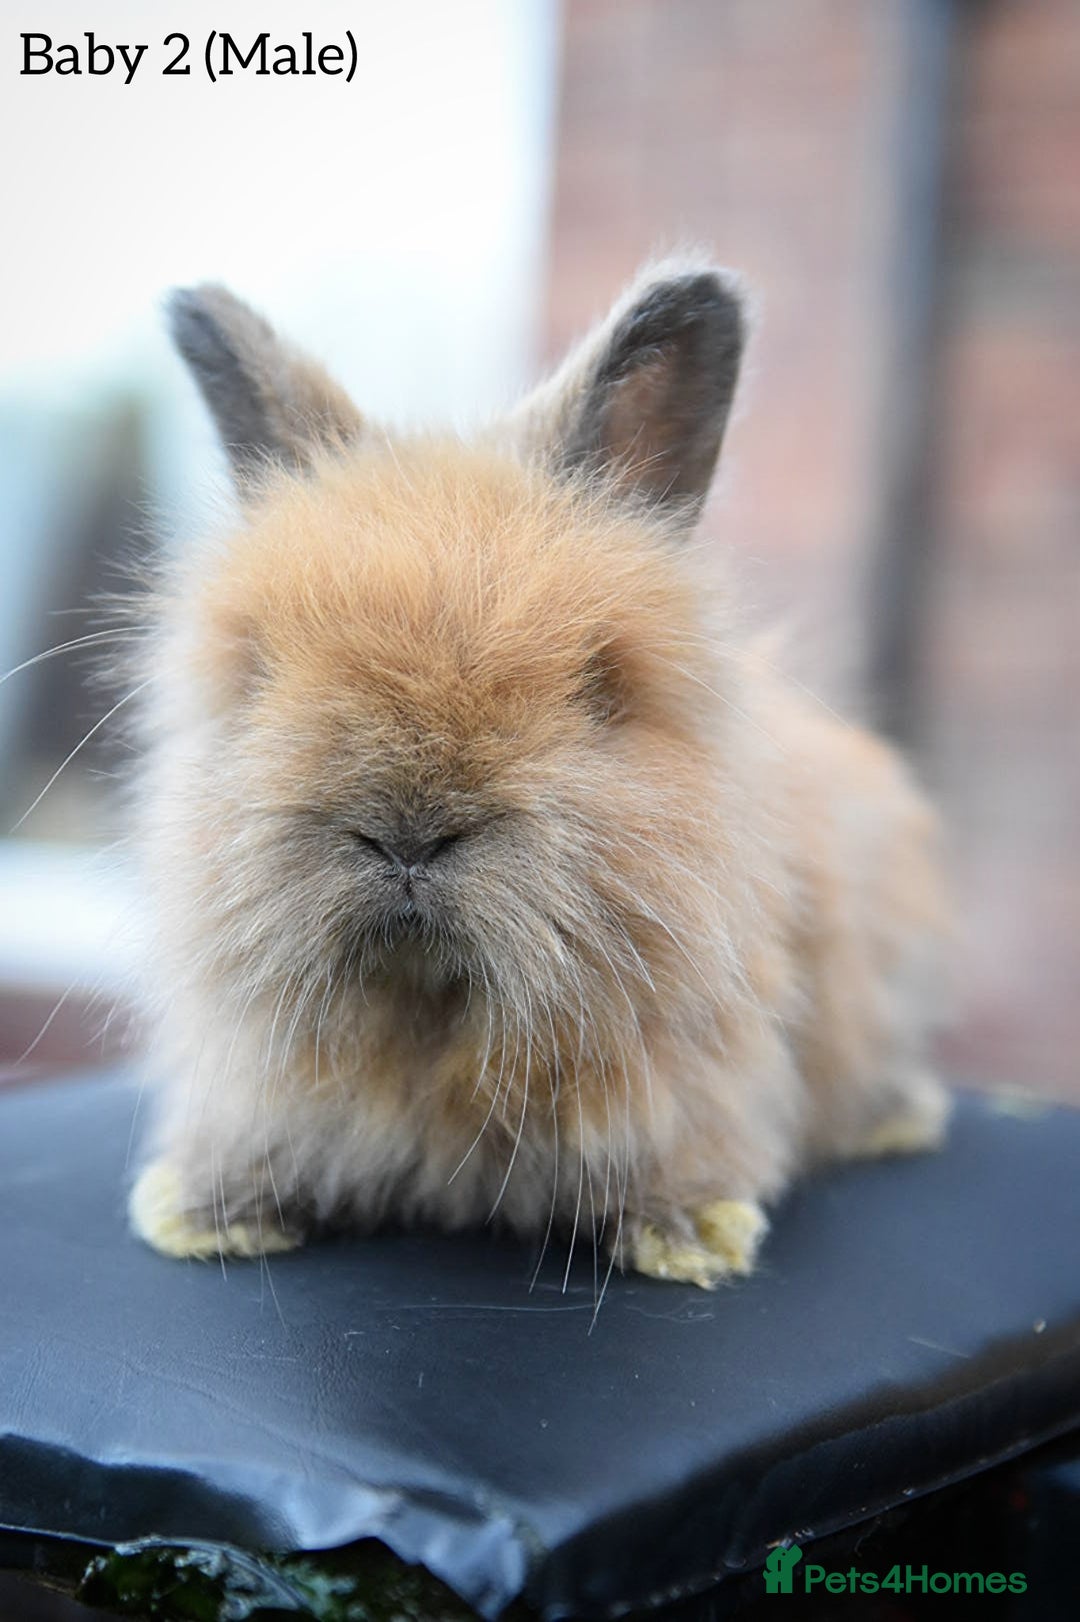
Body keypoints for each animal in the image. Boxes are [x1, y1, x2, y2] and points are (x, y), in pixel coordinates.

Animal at [127, 258, 951, 1290]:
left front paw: (694, 1233)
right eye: (256, 672)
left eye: (597, 687)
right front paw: (203, 1210)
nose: (407, 834)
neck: (432, 1020)